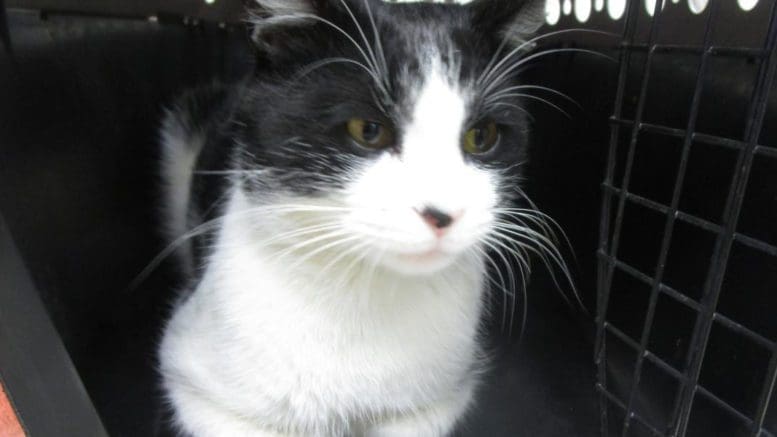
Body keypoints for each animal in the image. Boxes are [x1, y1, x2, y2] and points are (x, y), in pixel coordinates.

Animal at [159, 0, 556, 434]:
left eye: (481, 137)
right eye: (367, 130)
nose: (442, 214)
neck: (362, 290)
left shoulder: (438, 400)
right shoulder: (193, 375)